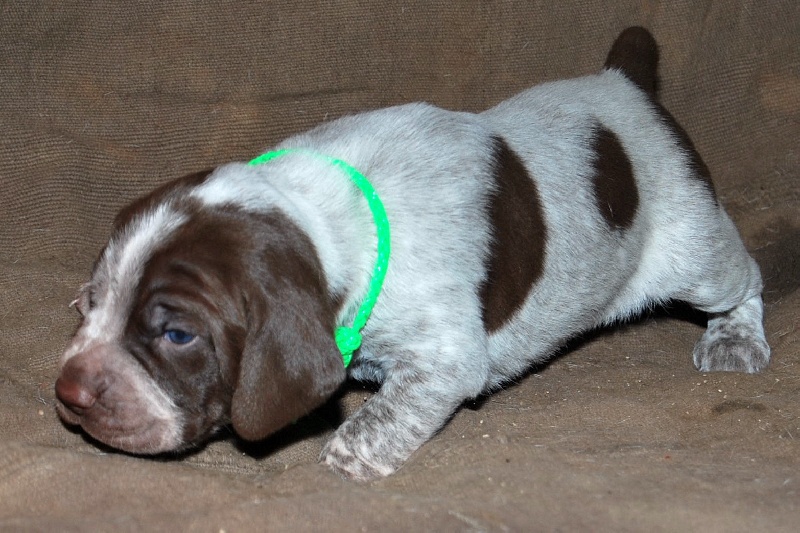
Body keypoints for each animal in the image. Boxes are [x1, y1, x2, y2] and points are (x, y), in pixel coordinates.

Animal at [55, 27, 770, 480]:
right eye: (89, 303)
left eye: (177, 335)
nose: (68, 392)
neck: (316, 210)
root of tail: (623, 82)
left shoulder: (445, 355)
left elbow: (394, 408)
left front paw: (353, 451)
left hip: (693, 251)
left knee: (745, 277)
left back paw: (735, 338)